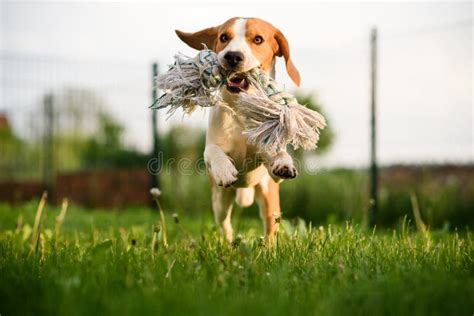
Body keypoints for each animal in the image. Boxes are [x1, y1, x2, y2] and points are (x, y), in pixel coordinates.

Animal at [176, 16, 302, 242]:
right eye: (223, 37)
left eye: (258, 39)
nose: (233, 56)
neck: (242, 109)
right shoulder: (211, 148)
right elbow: (214, 152)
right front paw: (225, 169)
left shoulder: (272, 169)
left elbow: (277, 154)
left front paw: (284, 162)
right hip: (220, 201)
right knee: (224, 223)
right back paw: (229, 242)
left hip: (269, 197)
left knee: (270, 227)